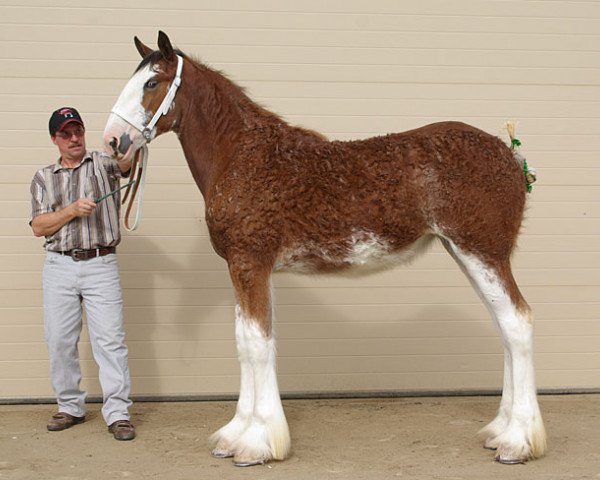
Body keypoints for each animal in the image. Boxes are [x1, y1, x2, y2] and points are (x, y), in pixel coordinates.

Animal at [104, 31, 548, 466]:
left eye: (151, 83)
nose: (112, 142)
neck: (244, 156)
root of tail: (510, 156)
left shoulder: (250, 264)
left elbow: (256, 344)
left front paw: (256, 444)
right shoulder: (246, 269)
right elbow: (246, 342)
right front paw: (234, 436)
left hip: (482, 253)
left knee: (517, 323)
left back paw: (517, 442)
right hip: (467, 254)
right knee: (505, 328)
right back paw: (499, 431)